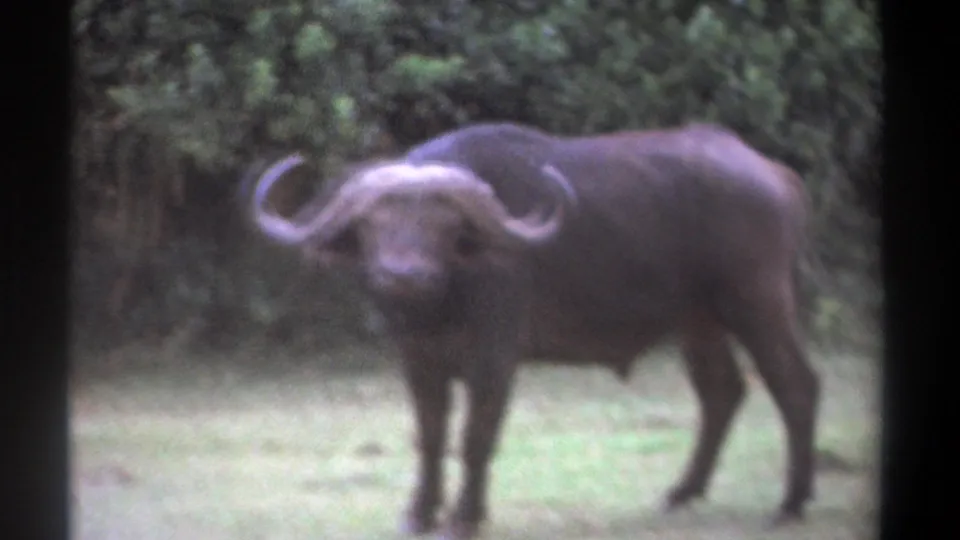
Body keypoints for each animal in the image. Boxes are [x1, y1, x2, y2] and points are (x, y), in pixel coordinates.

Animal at [248, 122, 820, 539]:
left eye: (444, 226)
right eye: (371, 224)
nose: (403, 275)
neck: (445, 302)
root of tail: (775, 173)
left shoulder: (494, 359)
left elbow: (475, 438)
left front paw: (464, 518)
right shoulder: (418, 361)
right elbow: (429, 437)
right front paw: (419, 514)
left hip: (757, 301)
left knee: (795, 384)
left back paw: (790, 504)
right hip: (697, 320)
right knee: (722, 390)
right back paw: (681, 492)